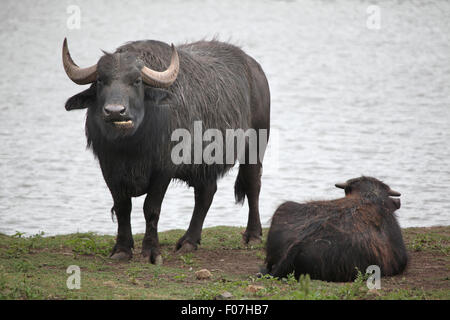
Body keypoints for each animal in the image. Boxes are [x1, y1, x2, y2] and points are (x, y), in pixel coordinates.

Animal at [61, 37, 268, 262]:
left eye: (137, 81)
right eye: (100, 80)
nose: (115, 111)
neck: (130, 146)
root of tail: (255, 70)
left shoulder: (163, 169)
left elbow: (151, 208)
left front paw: (151, 251)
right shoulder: (108, 167)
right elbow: (123, 207)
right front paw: (122, 250)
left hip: (255, 148)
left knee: (253, 185)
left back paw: (253, 235)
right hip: (204, 165)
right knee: (205, 194)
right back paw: (189, 241)